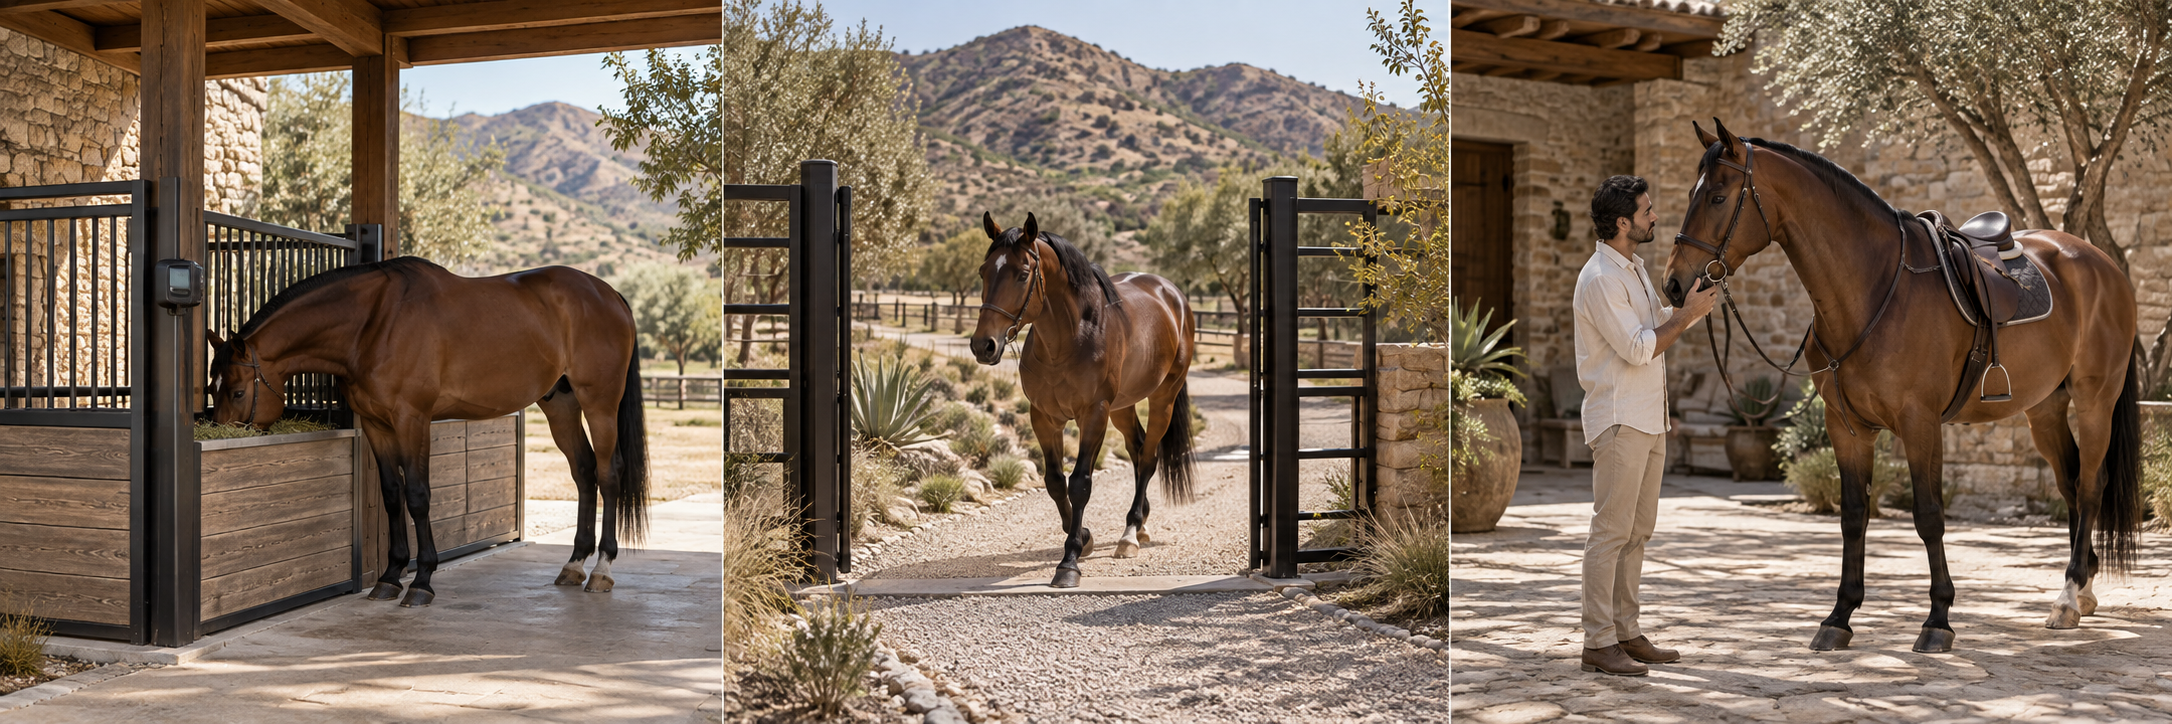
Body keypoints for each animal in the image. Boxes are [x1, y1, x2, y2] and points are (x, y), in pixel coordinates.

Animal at [204, 256, 649, 607]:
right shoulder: (376, 425)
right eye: (212, 388)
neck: (374, 323)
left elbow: (418, 496)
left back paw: (602, 569)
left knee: (609, 474)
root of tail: (609, 294)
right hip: (561, 404)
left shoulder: (412, 419)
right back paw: (574, 565)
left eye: (238, 391)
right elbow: (392, 495)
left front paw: (421, 581)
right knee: (584, 473)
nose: (220, 434)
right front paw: (389, 577)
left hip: (599, 404)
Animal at [968, 212, 1198, 588]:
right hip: (1123, 406)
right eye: (983, 270)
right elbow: (1054, 482)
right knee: (1137, 450)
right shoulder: (1043, 417)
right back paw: (1140, 524)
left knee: (1148, 458)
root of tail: (1173, 295)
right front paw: (1085, 538)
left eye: (1022, 273)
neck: (1070, 338)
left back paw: (1130, 534)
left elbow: (1080, 484)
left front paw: (1070, 561)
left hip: (1162, 397)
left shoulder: (1093, 414)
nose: (983, 345)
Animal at [1662, 120, 2142, 653]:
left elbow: (1928, 515)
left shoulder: (1919, 423)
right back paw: (2083, 587)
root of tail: (2101, 263)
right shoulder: (1846, 426)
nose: (1675, 285)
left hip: (2095, 399)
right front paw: (1839, 616)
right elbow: (1853, 515)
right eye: (1693, 193)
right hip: (2045, 409)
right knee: (2070, 482)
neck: (1870, 291)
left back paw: (2068, 597)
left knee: (2091, 485)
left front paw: (1938, 621)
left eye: (1718, 196)